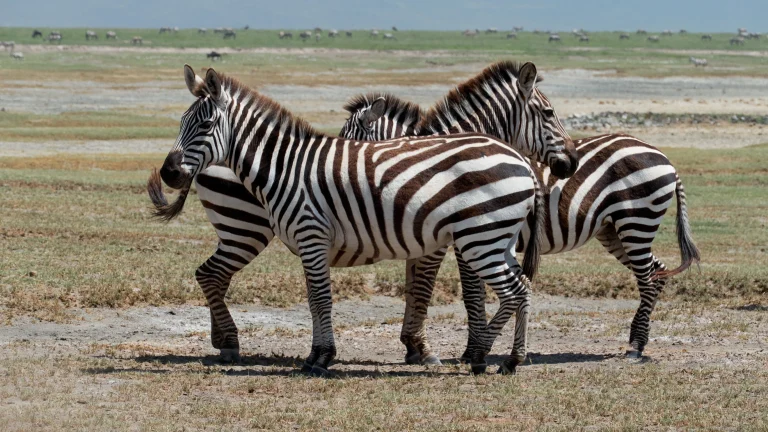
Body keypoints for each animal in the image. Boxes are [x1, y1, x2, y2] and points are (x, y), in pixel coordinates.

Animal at [148, 61, 576, 374]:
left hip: (482, 237)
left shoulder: (315, 235)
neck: (284, 166)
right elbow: (321, 299)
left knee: (517, 289)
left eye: (204, 124)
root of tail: (521, 161)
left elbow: (327, 298)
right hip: (489, 239)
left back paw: (496, 358)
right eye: (181, 122)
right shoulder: (320, 241)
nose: (169, 172)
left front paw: (324, 357)